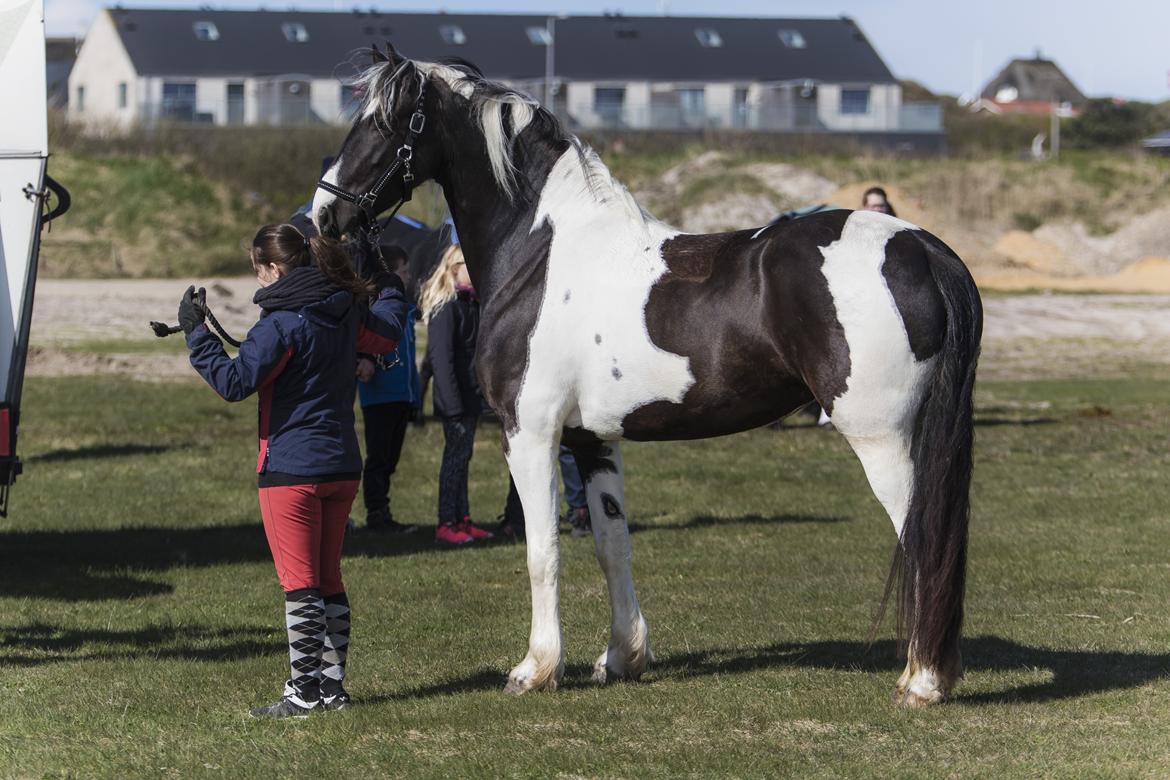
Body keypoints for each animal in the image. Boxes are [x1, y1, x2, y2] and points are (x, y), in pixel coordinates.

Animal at [315, 50, 982, 706]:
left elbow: (541, 551)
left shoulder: (529, 433)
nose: (325, 214)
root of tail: (921, 246)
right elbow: (612, 545)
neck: (544, 254)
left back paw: (922, 681)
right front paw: (622, 657)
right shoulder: (592, 439)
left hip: (882, 438)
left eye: (384, 123)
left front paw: (535, 669)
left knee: (921, 539)